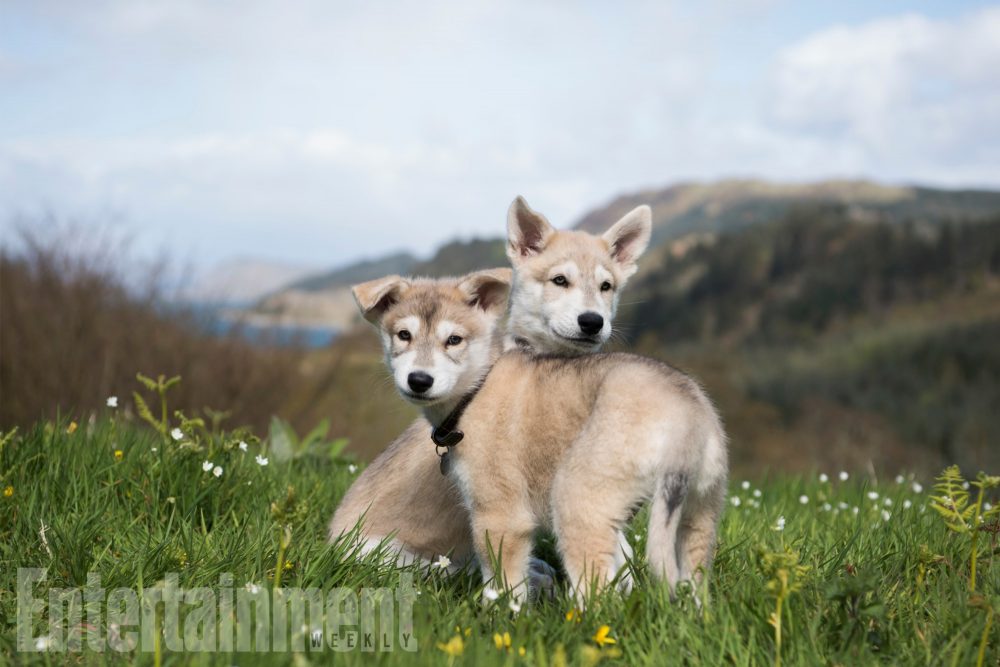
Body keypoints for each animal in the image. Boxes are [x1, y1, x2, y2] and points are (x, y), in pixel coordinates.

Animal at [358, 264, 728, 604]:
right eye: (403, 335)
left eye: (454, 340)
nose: (419, 380)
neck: (478, 388)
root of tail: (687, 418)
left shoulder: (500, 513)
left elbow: (502, 582)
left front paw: (501, 616)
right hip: (698, 513)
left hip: (578, 499)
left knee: (596, 593)